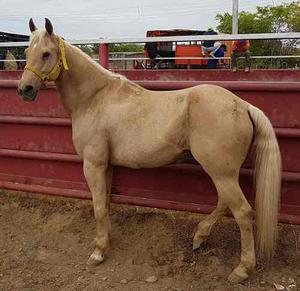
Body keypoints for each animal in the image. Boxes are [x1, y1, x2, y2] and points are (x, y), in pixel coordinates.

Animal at [18, 19, 282, 284]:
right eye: (26, 52)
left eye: (46, 53)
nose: (24, 90)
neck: (95, 98)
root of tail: (243, 105)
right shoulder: (107, 166)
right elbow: (106, 202)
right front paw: (104, 241)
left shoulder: (93, 165)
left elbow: (99, 207)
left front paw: (98, 252)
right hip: (222, 173)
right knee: (224, 203)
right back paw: (199, 236)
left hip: (221, 173)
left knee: (243, 212)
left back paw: (242, 269)